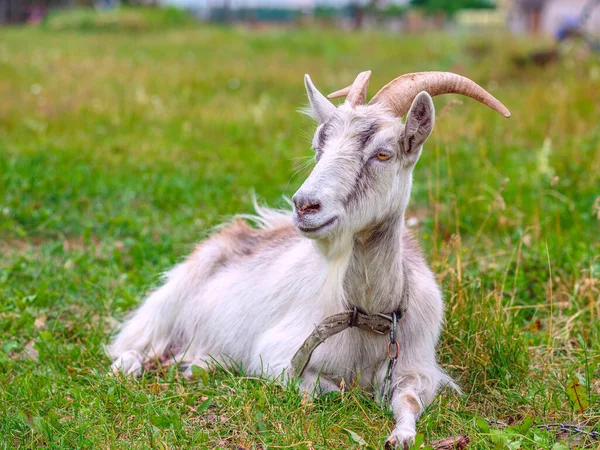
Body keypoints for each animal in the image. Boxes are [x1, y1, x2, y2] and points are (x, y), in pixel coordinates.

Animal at [106, 70, 506, 446]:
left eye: (383, 154)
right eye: (318, 149)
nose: (304, 205)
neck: (368, 316)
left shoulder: (419, 368)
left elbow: (408, 400)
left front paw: (401, 436)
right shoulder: (279, 356)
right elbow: (329, 390)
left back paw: (198, 365)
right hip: (169, 303)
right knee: (132, 344)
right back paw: (132, 367)